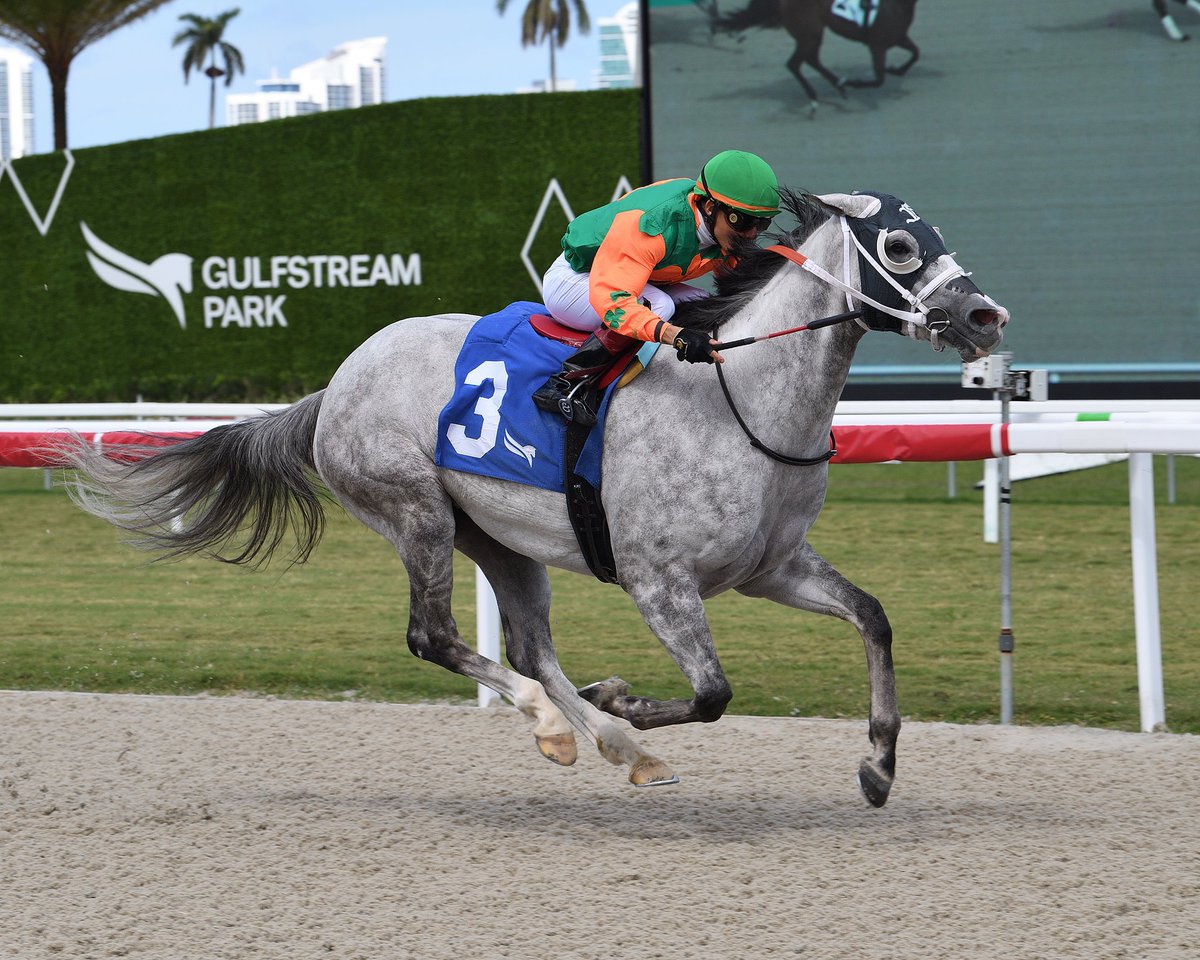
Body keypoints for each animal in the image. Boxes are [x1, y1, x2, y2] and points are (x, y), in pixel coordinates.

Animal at [60, 187, 1008, 801]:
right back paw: (562, 723)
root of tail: (334, 385)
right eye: (900, 248)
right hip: (415, 512)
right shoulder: (659, 582)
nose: (985, 316)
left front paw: (879, 766)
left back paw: (610, 743)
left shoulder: (773, 566)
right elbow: (711, 694)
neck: (736, 397)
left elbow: (874, 618)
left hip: (499, 537)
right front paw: (624, 701)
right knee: (435, 636)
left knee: (529, 645)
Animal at [720, 0, 916, 114]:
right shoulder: (877, 45)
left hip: (811, 34)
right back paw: (817, 98)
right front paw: (851, 82)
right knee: (794, 63)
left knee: (810, 60)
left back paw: (837, 86)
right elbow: (878, 80)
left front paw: (896, 70)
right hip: (810, 34)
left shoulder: (899, 37)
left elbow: (915, 53)